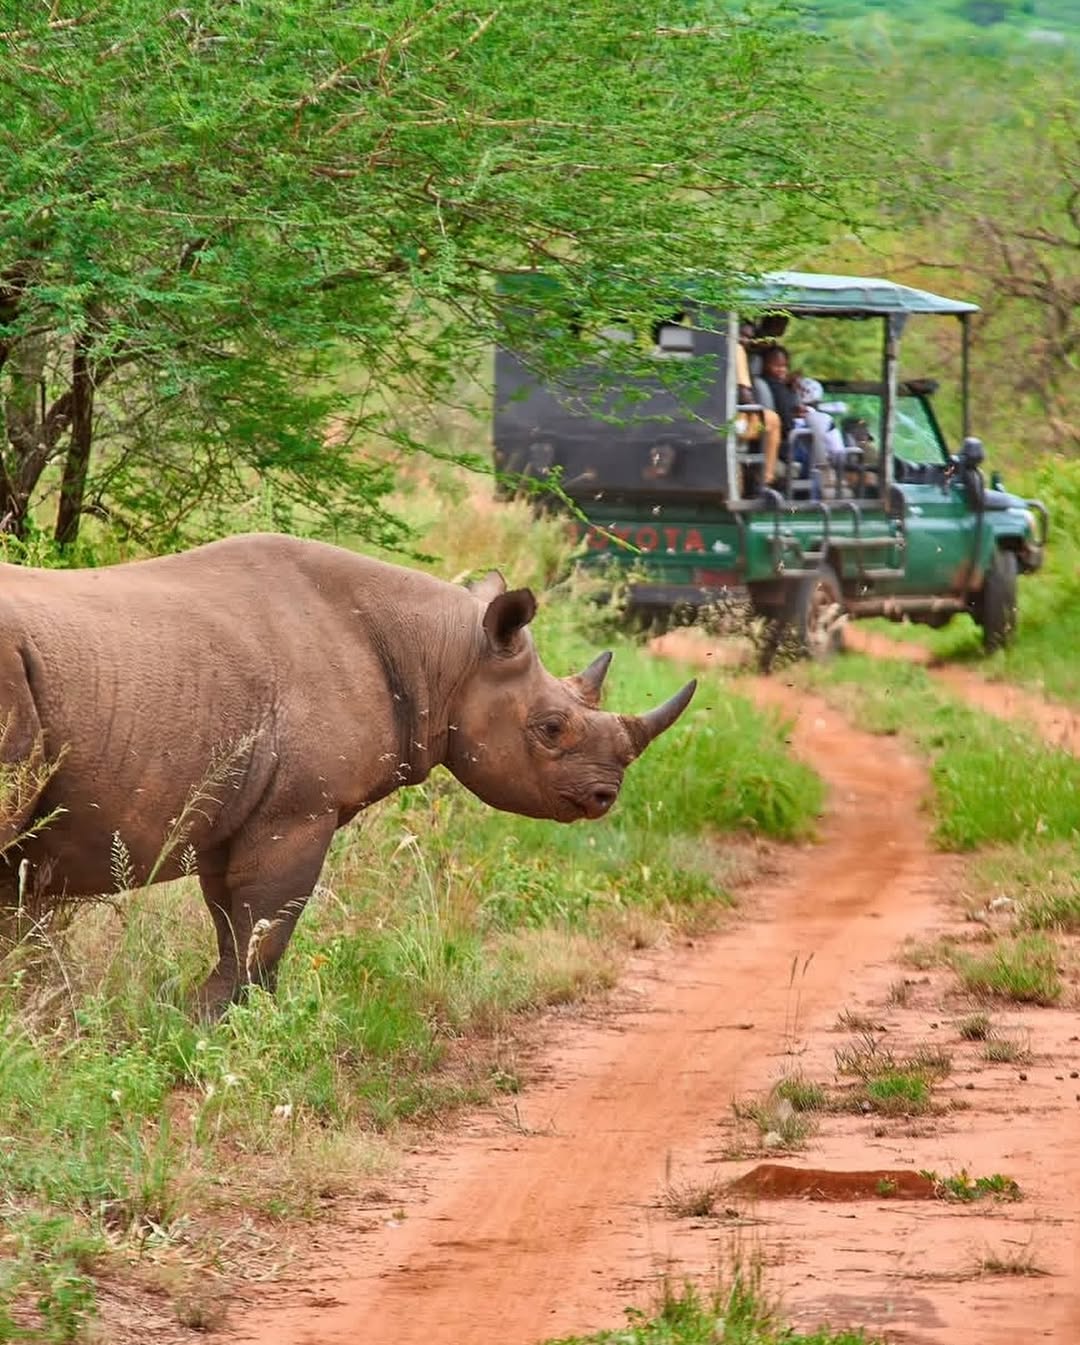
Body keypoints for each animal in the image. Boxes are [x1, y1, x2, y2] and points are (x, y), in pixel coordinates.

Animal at [0, 532, 695, 1017]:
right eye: (552, 728)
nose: (605, 795)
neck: (447, 655)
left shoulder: (238, 809)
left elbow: (232, 920)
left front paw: (207, 1018)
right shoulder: (298, 811)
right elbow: (265, 923)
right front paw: (234, 1027)